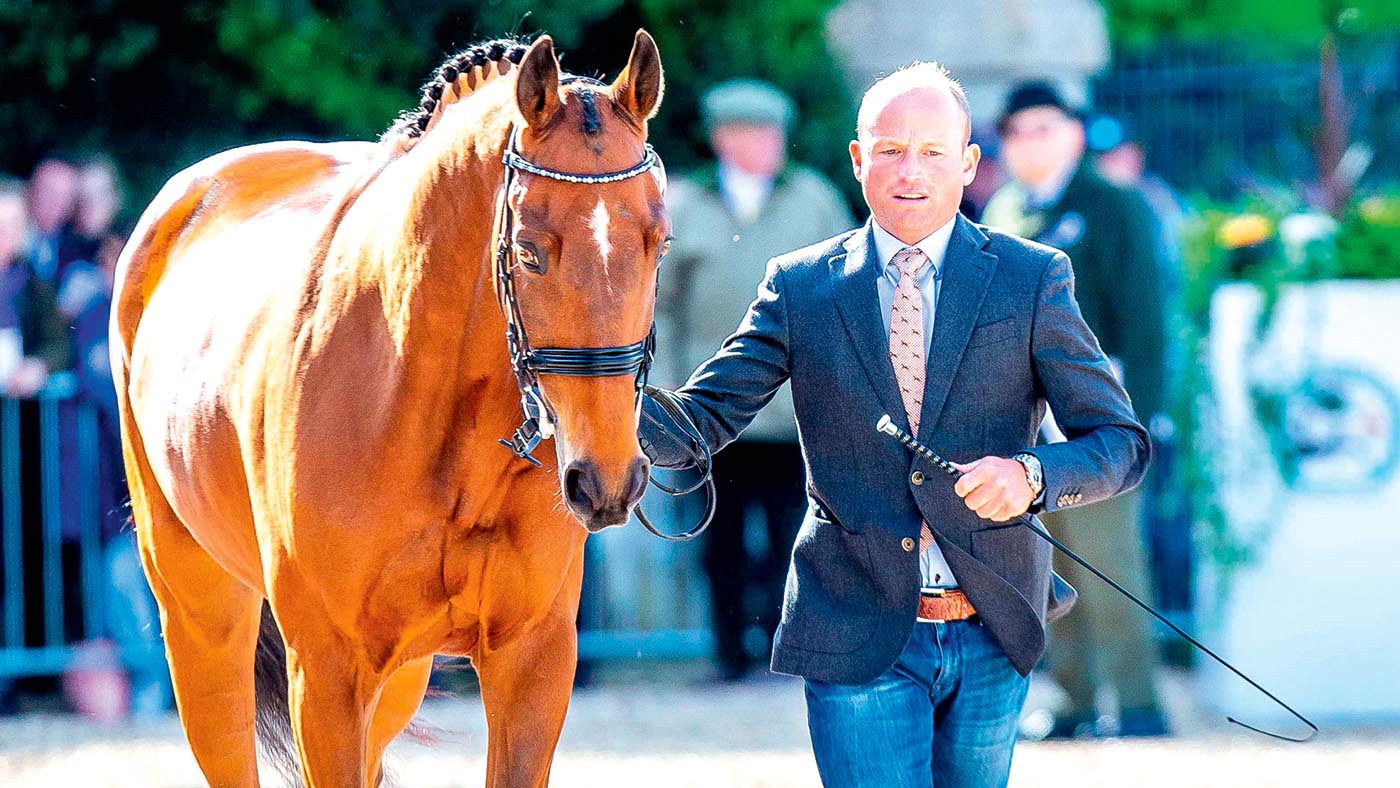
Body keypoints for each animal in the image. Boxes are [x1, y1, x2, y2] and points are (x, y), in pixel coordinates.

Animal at [110, 31, 668, 787]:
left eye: (659, 244)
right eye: (530, 252)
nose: (607, 480)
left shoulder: (533, 662)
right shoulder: (327, 673)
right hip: (202, 619)